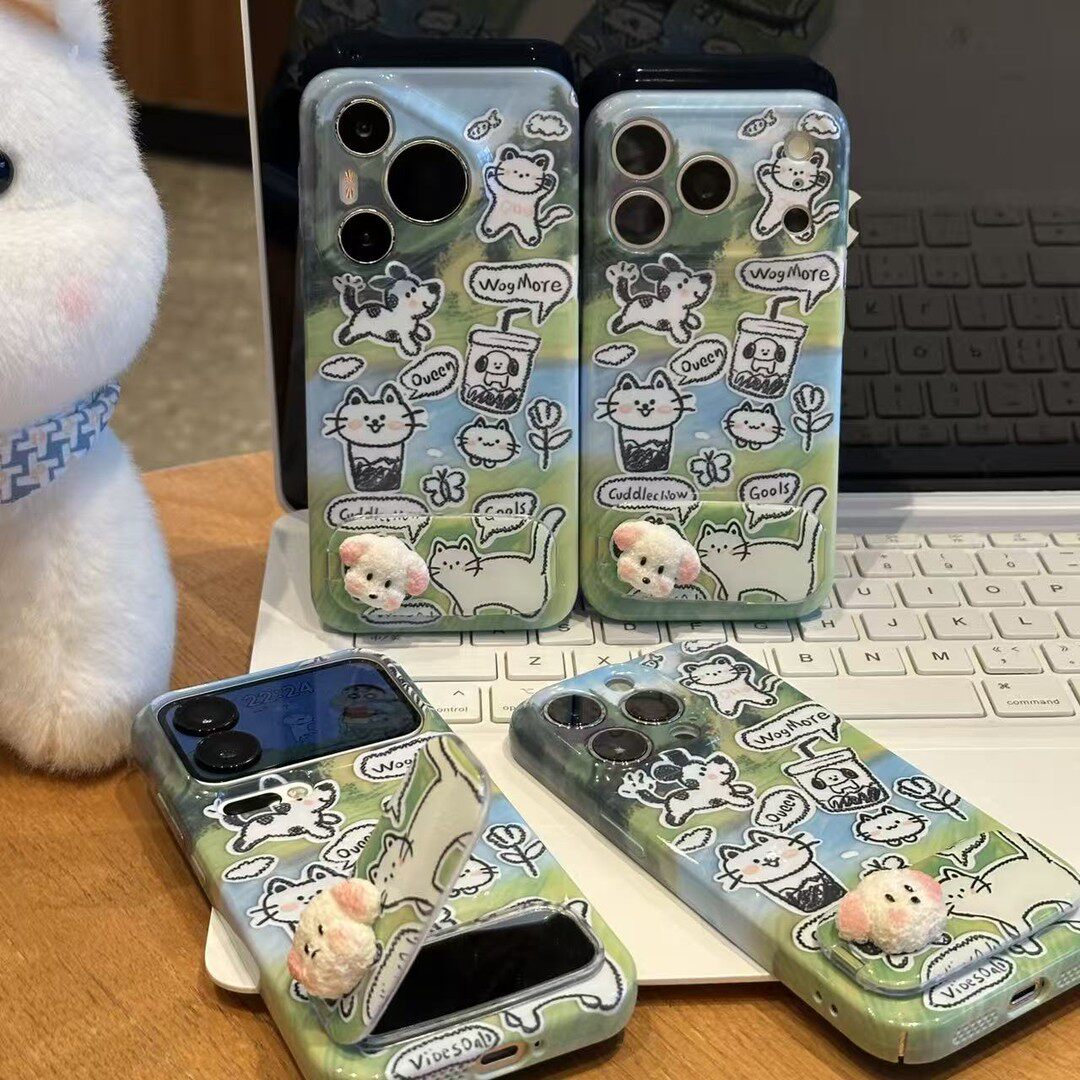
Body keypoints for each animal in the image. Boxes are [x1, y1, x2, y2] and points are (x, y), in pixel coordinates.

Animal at [428, 505, 565, 617]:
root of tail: (534, 562)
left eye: (458, 562)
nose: (451, 566)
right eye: (444, 563)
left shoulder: (468, 602)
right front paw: (456, 612)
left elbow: (467, 611)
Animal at [939, 832, 1080, 953]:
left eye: (962, 889)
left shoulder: (1013, 916)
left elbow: (1021, 928)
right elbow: (1012, 933)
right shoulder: (1005, 921)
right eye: (951, 896)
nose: (962, 894)